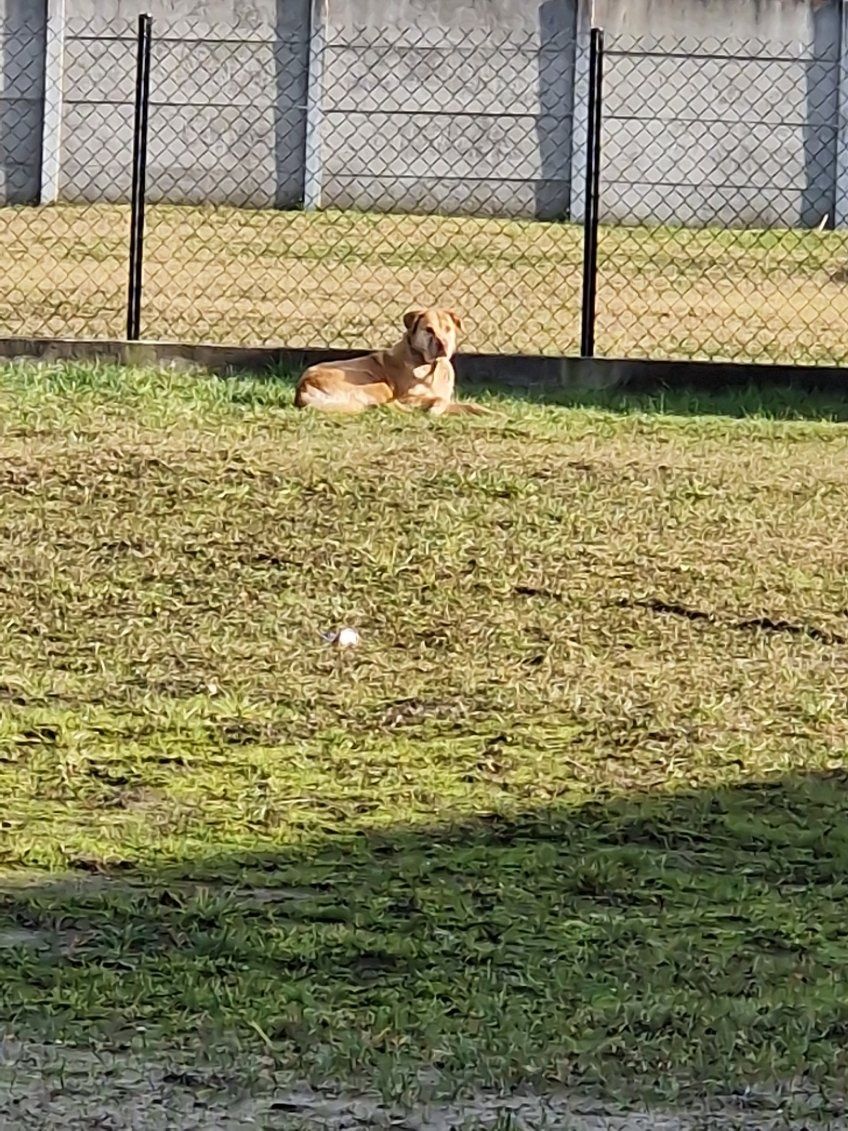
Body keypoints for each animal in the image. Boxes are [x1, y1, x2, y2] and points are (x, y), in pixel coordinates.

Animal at [296, 307, 495, 418]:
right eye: (429, 330)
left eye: (447, 328)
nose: (442, 344)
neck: (432, 367)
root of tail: (302, 386)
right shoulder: (407, 397)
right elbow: (437, 400)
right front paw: (433, 411)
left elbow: (470, 405)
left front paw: (493, 414)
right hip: (379, 385)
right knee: (388, 404)